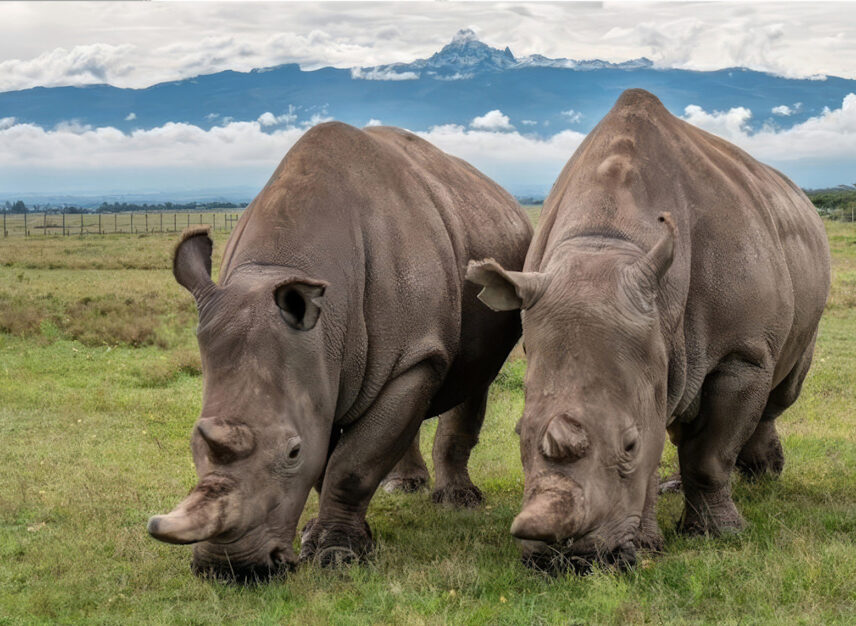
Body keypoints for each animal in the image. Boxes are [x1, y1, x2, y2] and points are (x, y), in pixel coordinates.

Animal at [147, 122, 532, 581]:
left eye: (292, 452)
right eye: (194, 442)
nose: (230, 569)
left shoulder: (412, 356)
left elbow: (352, 463)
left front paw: (337, 556)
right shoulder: (317, 366)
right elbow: (330, 457)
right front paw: (319, 539)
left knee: (474, 378)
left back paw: (458, 503)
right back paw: (403, 488)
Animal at [467, 89, 830, 570]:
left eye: (629, 445)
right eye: (518, 434)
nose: (567, 560)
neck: (607, 242)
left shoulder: (742, 353)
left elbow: (709, 454)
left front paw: (720, 534)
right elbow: (662, 431)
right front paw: (648, 544)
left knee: (780, 391)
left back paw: (762, 477)